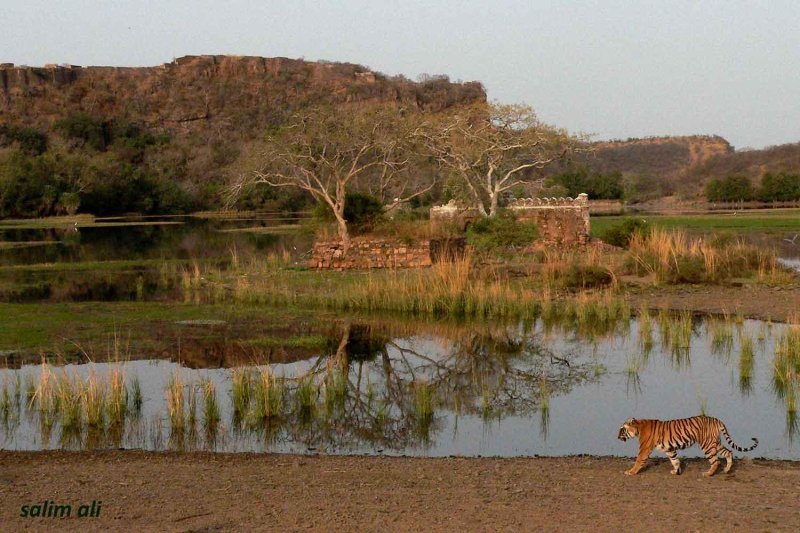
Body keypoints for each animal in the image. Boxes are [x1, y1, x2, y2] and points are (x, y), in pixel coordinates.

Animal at [620, 414, 756, 476]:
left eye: (622, 429)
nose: (617, 437)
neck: (638, 427)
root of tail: (717, 420)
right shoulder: (669, 448)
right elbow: (674, 460)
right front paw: (676, 471)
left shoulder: (644, 448)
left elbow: (638, 460)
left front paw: (631, 472)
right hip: (715, 443)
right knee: (728, 452)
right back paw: (727, 470)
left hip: (707, 445)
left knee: (716, 461)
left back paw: (708, 474)